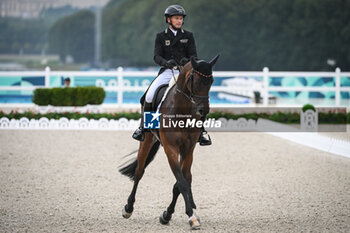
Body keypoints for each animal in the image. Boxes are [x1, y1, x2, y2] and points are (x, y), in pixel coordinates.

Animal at [120, 54, 219, 229]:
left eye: (212, 81)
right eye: (195, 80)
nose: (204, 110)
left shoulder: (188, 149)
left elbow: (181, 182)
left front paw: (169, 214)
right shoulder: (171, 149)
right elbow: (181, 182)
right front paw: (190, 215)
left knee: (187, 177)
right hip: (147, 139)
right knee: (139, 172)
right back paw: (128, 208)